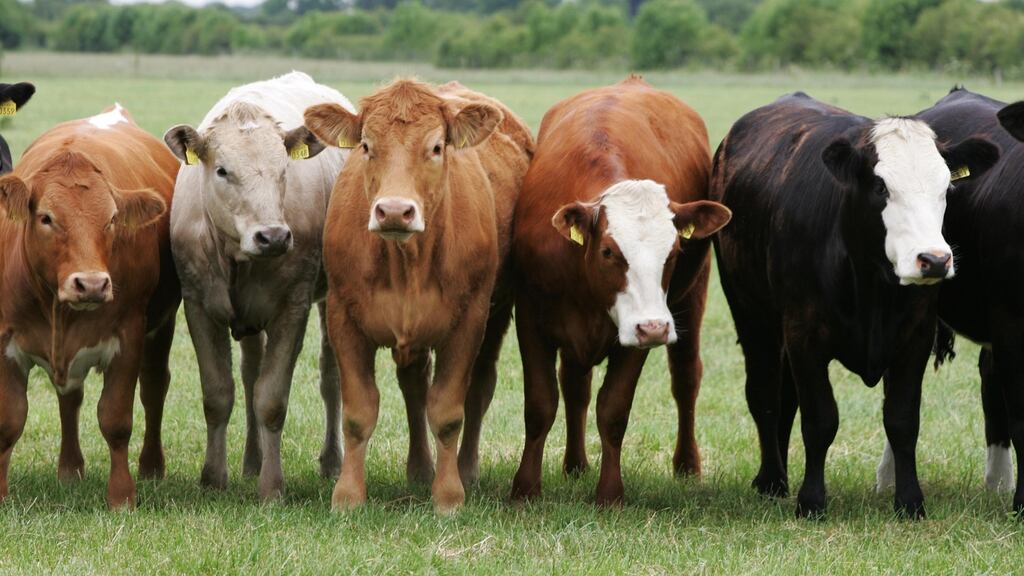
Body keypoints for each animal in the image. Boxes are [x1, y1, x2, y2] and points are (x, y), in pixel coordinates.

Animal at [0, 104, 180, 508]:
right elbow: (10, 420)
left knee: (154, 387)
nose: (92, 284)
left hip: (163, 325)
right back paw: (70, 469)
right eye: (46, 217)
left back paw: (152, 467)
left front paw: (122, 497)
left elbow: (116, 419)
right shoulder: (5, 341)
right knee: (70, 398)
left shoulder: (128, 336)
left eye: (112, 219)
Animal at [162, 72, 350, 500]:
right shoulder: (197, 305)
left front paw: (272, 486)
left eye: (283, 171)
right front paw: (213, 477)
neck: (235, 256)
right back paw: (251, 459)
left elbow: (272, 398)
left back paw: (332, 460)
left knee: (330, 375)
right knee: (250, 372)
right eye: (222, 170)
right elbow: (219, 393)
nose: (273, 237)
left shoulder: (293, 307)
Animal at [303, 78, 533, 513]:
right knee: (413, 386)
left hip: (497, 313)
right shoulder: (343, 317)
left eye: (437, 147)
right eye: (366, 145)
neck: (405, 262)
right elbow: (358, 412)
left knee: (480, 386)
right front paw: (348, 496)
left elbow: (447, 411)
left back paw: (466, 468)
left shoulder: (468, 321)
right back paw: (420, 468)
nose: (394, 211)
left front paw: (448, 497)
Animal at [509, 76, 731, 506]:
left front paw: (610, 494)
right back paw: (575, 465)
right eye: (609, 251)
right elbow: (541, 403)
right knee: (574, 386)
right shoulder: (530, 317)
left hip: (690, 300)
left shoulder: (636, 336)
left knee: (685, 380)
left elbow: (613, 409)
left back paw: (686, 464)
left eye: (673, 252)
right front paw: (525, 489)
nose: (655, 328)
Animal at [711, 92, 1000, 518]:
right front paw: (811, 500)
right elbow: (820, 420)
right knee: (764, 395)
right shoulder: (804, 336)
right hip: (751, 314)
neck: (872, 285)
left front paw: (910, 501)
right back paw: (772, 479)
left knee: (784, 398)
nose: (933, 260)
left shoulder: (915, 337)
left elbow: (902, 420)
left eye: (947, 188)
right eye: (881, 187)